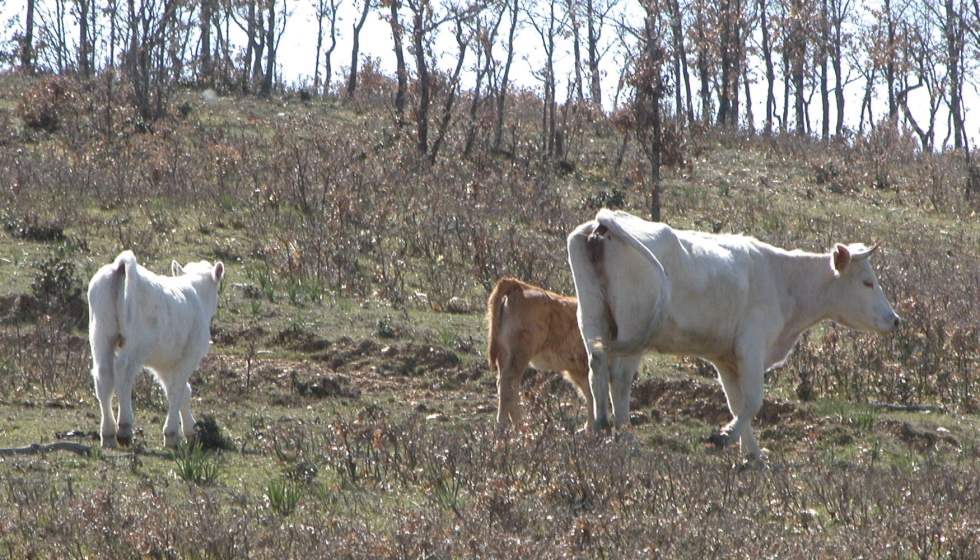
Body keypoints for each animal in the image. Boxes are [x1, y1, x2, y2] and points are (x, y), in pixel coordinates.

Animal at [86, 252, 226, 448]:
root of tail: (121, 265)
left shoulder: (164, 363)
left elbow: (182, 391)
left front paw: (190, 430)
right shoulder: (188, 357)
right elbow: (177, 390)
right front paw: (172, 434)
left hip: (101, 334)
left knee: (103, 375)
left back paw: (108, 434)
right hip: (138, 342)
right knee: (123, 371)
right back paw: (124, 427)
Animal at [484, 278, 588, 426]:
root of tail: (520, 285)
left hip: (504, 353)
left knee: (508, 386)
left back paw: (520, 427)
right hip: (521, 353)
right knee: (508, 382)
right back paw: (504, 426)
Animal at [568, 210, 904, 460]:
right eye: (867, 282)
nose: (895, 320)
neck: (781, 279)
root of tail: (606, 219)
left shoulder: (725, 358)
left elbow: (736, 402)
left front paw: (753, 453)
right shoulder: (750, 348)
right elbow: (753, 401)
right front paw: (725, 437)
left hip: (592, 315)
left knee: (596, 365)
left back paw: (597, 428)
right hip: (633, 328)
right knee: (620, 378)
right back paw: (627, 438)